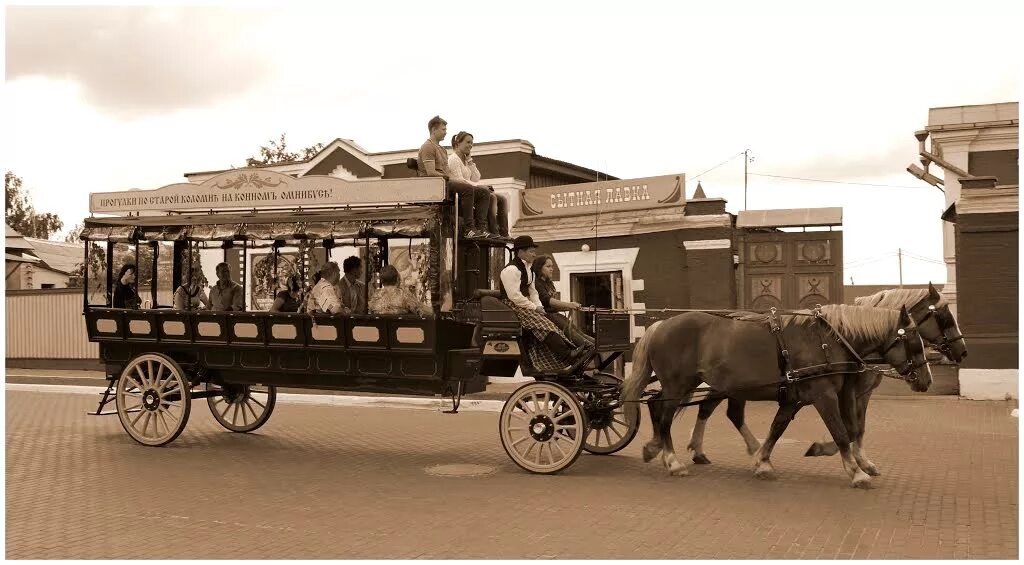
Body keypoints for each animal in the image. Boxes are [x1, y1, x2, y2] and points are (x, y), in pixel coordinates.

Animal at [618, 307, 933, 487]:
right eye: (914, 342)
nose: (927, 380)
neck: (827, 341)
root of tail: (660, 325)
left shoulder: (799, 398)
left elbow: (778, 429)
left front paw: (762, 462)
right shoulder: (824, 395)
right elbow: (841, 432)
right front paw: (856, 473)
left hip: (689, 385)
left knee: (658, 407)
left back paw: (657, 449)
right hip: (678, 385)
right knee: (664, 415)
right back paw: (672, 461)